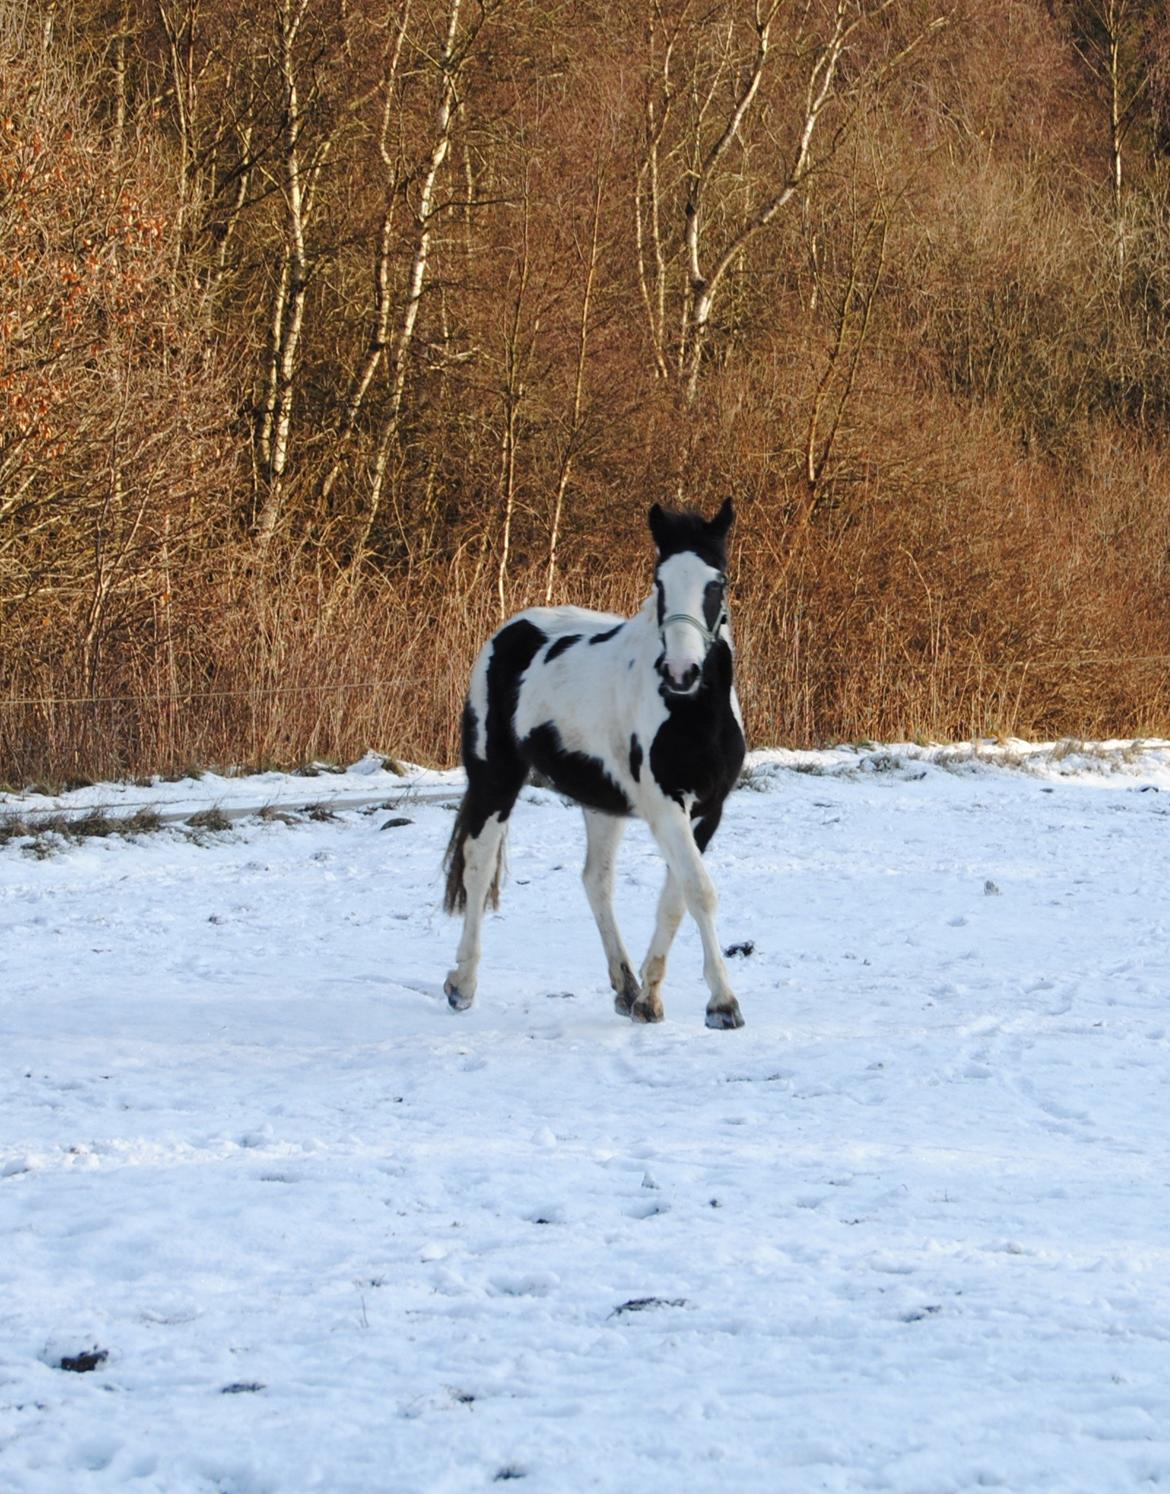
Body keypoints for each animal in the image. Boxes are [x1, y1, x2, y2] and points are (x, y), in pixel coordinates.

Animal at [445, 501, 747, 1027]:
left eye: (718, 582)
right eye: (659, 582)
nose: (680, 672)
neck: (695, 714)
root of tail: (511, 630)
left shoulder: (707, 811)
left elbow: (676, 899)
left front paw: (650, 998)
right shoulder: (666, 807)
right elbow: (699, 892)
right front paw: (722, 1003)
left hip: (602, 802)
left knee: (596, 881)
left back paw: (626, 988)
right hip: (495, 778)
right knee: (478, 866)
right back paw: (462, 984)